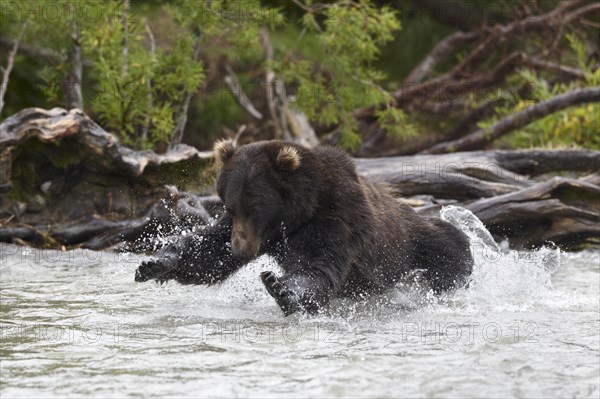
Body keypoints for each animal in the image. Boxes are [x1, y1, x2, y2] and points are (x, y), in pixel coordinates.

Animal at [136, 141, 474, 316]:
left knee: (448, 245)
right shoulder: (259, 234)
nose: (241, 249)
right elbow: (209, 253)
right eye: (230, 206)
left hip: (410, 241)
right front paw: (155, 261)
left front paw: (280, 287)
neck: (296, 215)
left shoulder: (336, 218)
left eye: (255, 208)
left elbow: (320, 264)